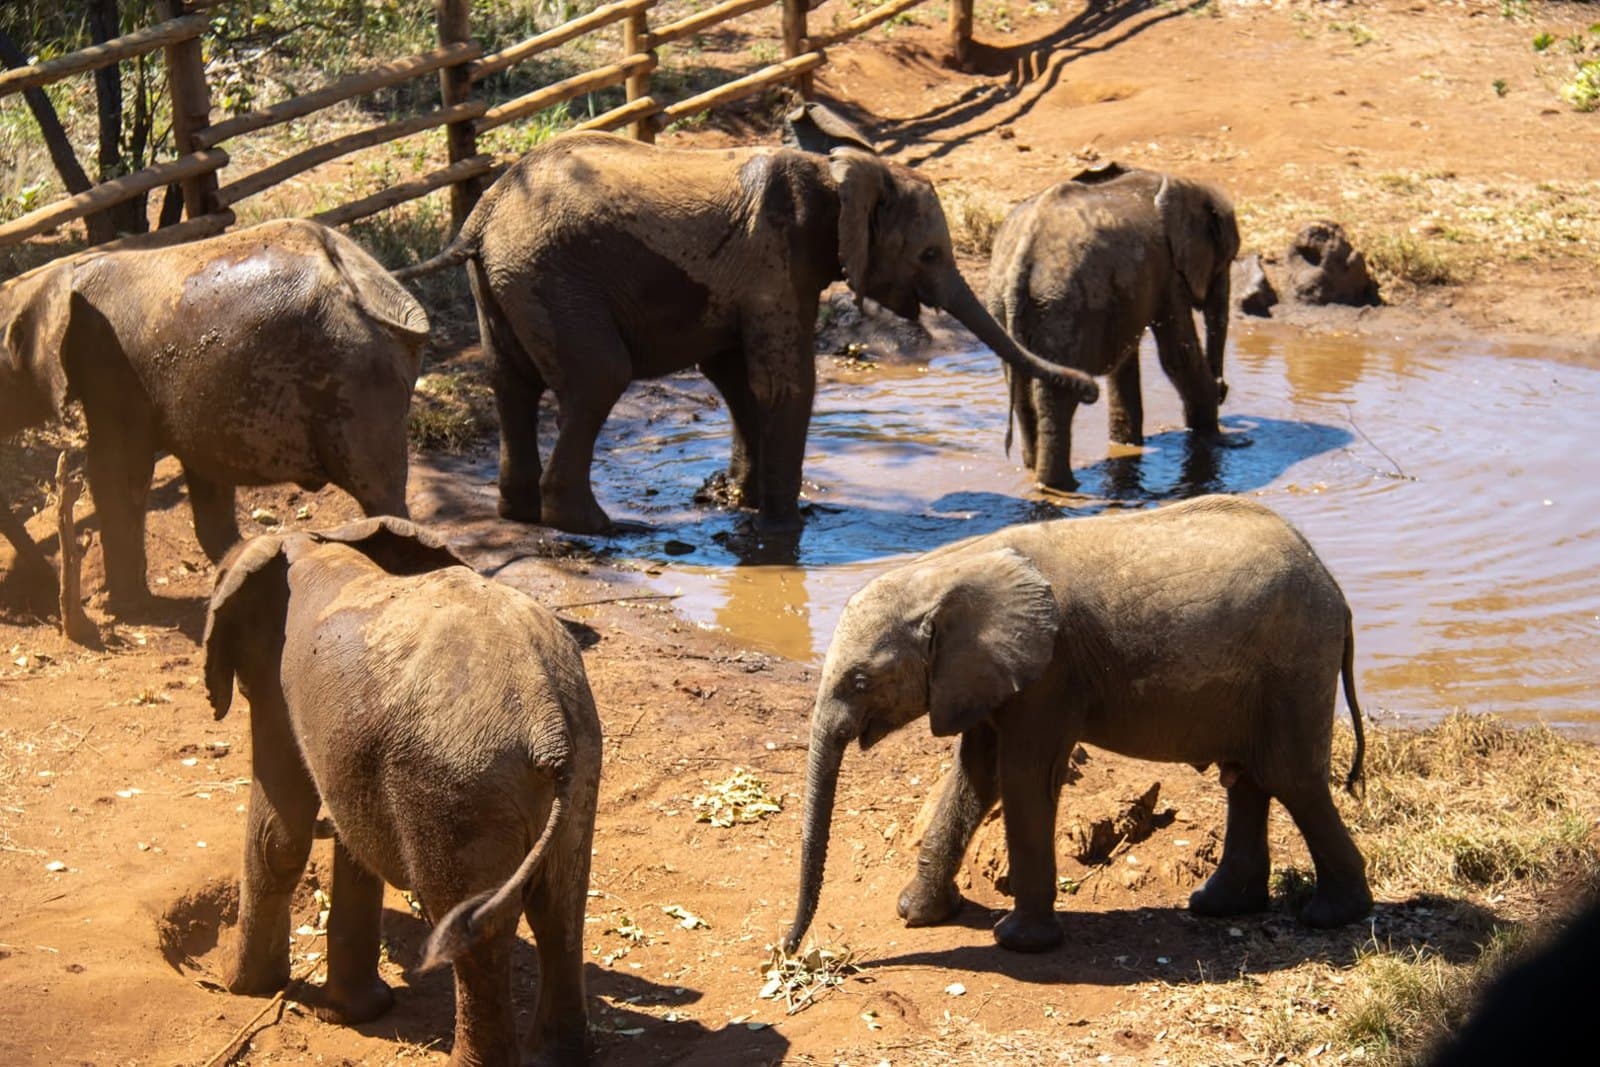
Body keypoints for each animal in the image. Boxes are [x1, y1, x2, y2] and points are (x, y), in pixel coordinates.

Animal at [0, 218, 428, 612]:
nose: (48, 584)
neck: (49, 278)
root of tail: (373, 287)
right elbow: (204, 473)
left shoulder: (109, 368)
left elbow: (116, 474)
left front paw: (123, 607)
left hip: (357, 382)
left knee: (379, 493)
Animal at [203, 516, 600, 1066]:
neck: (318, 539)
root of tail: (549, 725)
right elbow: (350, 842)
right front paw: (355, 1012)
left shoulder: (273, 680)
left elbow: (278, 836)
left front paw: (235, 982)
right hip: (576, 763)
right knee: (561, 906)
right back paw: (555, 1056)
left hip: (456, 786)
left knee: (477, 926)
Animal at [396, 131, 1098, 535]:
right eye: (929, 255)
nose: (1089, 389)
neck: (840, 169)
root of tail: (482, 214)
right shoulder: (777, 262)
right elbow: (784, 383)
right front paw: (789, 525)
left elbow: (737, 381)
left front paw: (742, 502)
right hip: (551, 276)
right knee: (598, 380)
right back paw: (604, 529)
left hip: (508, 281)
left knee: (510, 383)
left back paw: (520, 514)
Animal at [784, 495, 1372, 955]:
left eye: (861, 681)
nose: (788, 950)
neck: (945, 571)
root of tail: (1337, 592)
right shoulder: (987, 674)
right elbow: (976, 775)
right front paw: (917, 913)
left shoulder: (1050, 672)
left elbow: (1023, 775)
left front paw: (1018, 942)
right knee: (1248, 778)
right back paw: (1219, 905)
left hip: (1295, 664)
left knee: (1289, 777)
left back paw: (1331, 916)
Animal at [985, 163, 1243, 491]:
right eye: (1228, 260)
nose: (1223, 389)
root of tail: (1022, 256)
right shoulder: (1168, 272)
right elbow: (1177, 356)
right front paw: (1215, 439)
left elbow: (1126, 361)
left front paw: (1126, 446)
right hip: (1063, 307)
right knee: (1057, 395)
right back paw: (1064, 487)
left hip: (1004, 304)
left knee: (1021, 388)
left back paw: (1035, 475)